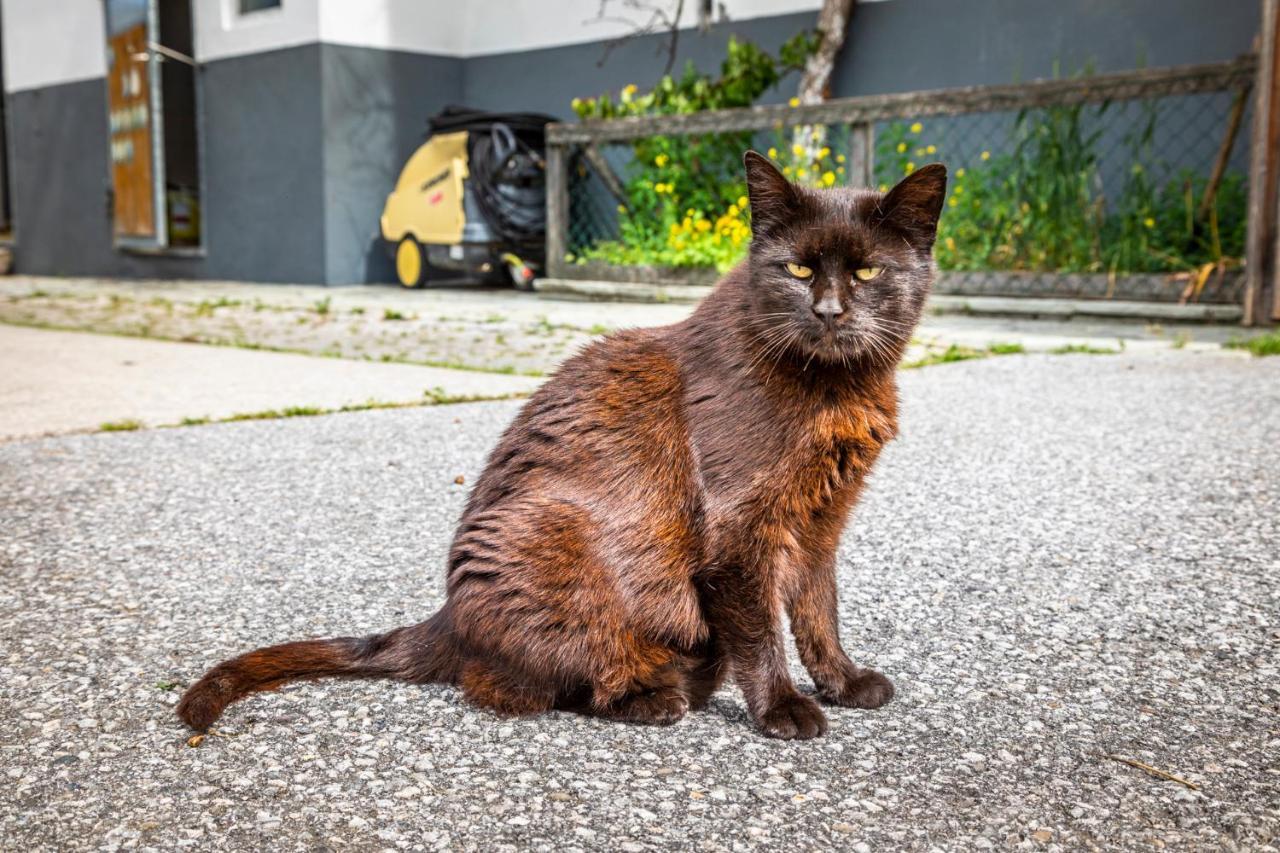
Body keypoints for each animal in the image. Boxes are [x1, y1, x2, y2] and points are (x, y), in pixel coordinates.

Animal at [175, 153, 947, 737]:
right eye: (796, 270)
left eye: (868, 272)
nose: (829, 311)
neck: (836, 388)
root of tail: (448, 617)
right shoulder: (740, 530)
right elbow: (761, 628)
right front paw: (783, 708)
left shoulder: (820, 521)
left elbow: (818, 611)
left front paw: (843, 681)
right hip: (555, 540)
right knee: (519, 686)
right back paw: (655, 696)